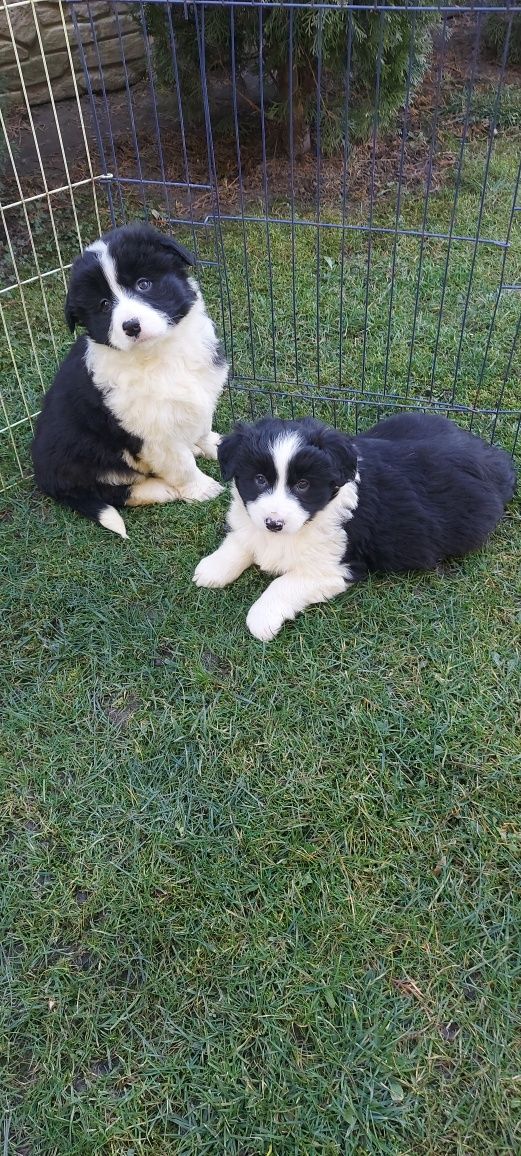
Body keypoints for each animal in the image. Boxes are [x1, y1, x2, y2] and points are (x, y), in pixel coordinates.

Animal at [32, 220, 228, 536]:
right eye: (103, 305)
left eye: (143, 284)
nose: (131, 326)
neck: (160, 355)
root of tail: (45, 479)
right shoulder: (149, 430)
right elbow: (180, 463)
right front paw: (202, 489)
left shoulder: (200, 390)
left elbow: (201, 425)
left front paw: (212, 445)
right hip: (90, 458)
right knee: (113, 492)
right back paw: (162, 490)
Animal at [194, 411, 515, 642]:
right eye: (259, 479)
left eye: (303, 484)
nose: (274, 523)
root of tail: (492, 459)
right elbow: (243, 538)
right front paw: (213, 568)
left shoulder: (335, 567)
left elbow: (283, 583)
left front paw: (261, 617)